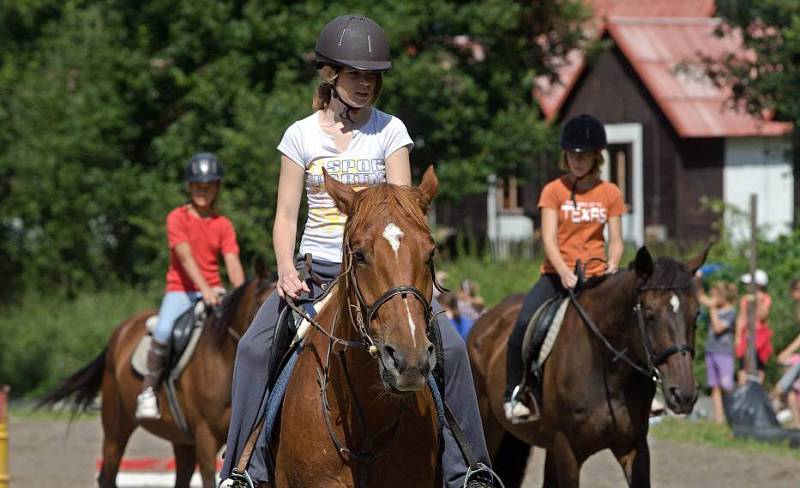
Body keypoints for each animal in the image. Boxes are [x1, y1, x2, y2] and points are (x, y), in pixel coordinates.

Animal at [38, 264, 276, 488]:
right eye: (261, 304)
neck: (222, 357)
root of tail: (121, 331)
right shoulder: (205, 437)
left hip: (181, 439)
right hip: (117, 425)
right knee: (107, 475)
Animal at [466, 248, 708, 488]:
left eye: (696, 314)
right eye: (650, 315)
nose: (684, 395)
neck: (607, 371)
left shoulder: (634, 447)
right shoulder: (568, 450)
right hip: (489, 424)